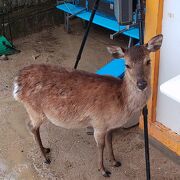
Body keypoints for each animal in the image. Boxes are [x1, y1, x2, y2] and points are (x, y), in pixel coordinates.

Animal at [12, 34, 162, 176]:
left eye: (148, 61)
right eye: (127, 65)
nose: (141, 84)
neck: (121, 103)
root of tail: (17, 83)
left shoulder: (109, 126)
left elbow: (110, 141)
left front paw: (115, 162)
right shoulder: (99, 122)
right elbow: (101, 145)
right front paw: (103, 170)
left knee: (32, 126)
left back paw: (45, 149)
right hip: (35, 110)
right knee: (31, 126)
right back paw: (45, 158)